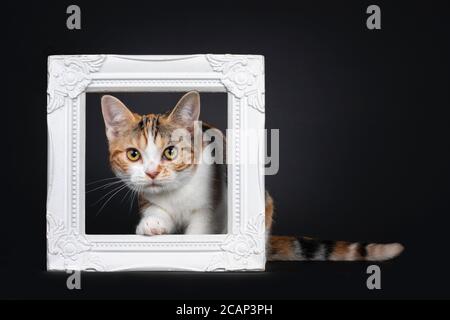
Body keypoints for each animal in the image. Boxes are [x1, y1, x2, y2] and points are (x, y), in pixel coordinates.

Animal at [101, 91, 404, 262]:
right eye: (133, 155)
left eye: (171, 152)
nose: (152, 172)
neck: (177, 192)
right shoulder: (149, 197)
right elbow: (156, 211)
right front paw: (151, 225)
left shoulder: (213, 205)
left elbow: (201, 228)